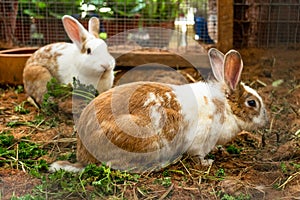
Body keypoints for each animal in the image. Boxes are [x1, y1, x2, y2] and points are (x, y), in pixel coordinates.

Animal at [49, 47, 270, 173]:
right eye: (252, 103)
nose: (266, 121)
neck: (226, 107)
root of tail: (84, 156)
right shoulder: (201, 142)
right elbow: (198, 155)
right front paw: (207, 163)